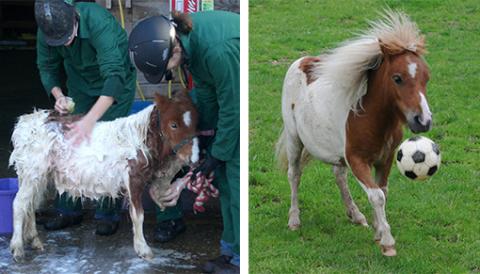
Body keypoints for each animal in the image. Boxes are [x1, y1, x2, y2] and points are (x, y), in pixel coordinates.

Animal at [10, 90, 200, 262]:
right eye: (173, 124)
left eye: (195, 124)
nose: (193, 156)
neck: (140, 139)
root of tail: (25, 123)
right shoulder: (133, 178)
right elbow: (138, 214)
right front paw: (143, 250)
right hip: (33, 169)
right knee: (20, 203)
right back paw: (17, 249)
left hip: (37, 174)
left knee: (31, 203)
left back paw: (34, 241)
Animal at [276, 9, 434, 256]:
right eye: (397, 78)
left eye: (426, 77)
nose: (423, 121)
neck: (372, 118)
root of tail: (302, 61)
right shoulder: (357, 160)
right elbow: (376, 196)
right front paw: (387, 242)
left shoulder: (385, 158)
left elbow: (382, 191)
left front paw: (378, 231)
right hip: (295, 139)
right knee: (294, 174)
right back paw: (294, 220)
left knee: (338, 175)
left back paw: (356, 215)